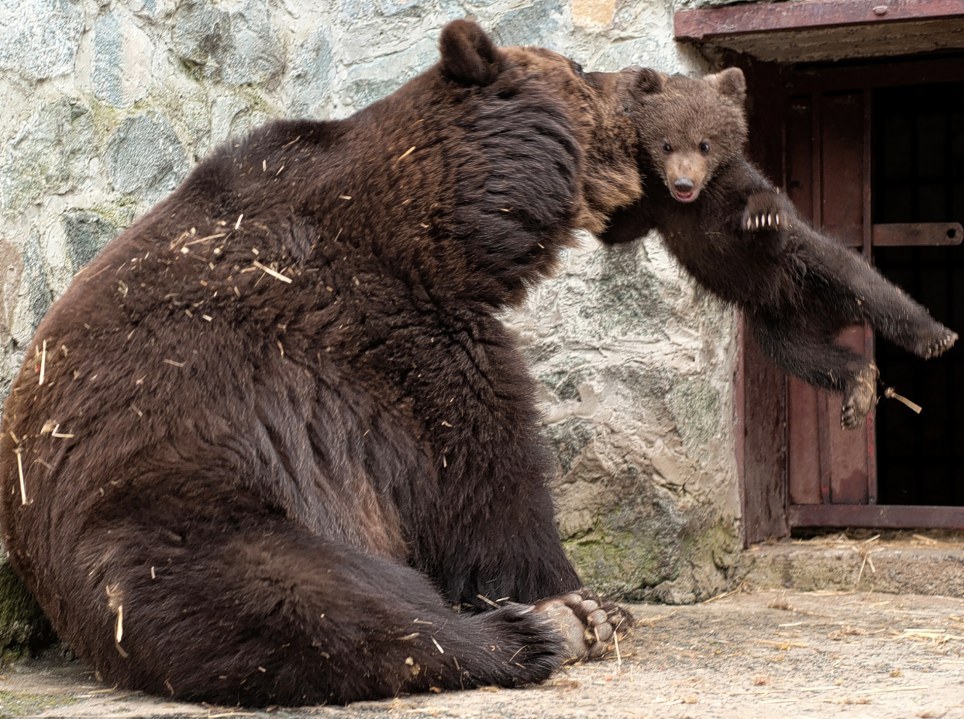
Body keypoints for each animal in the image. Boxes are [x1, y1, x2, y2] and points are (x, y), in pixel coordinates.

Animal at [0, 19, 652, 704]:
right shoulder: (398, 341)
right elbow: (489, 486)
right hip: (173, 510)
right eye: (578, 66)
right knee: (312, 600)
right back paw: (540, 630)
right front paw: (579, 595)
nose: (643, 79)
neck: (441, 230)